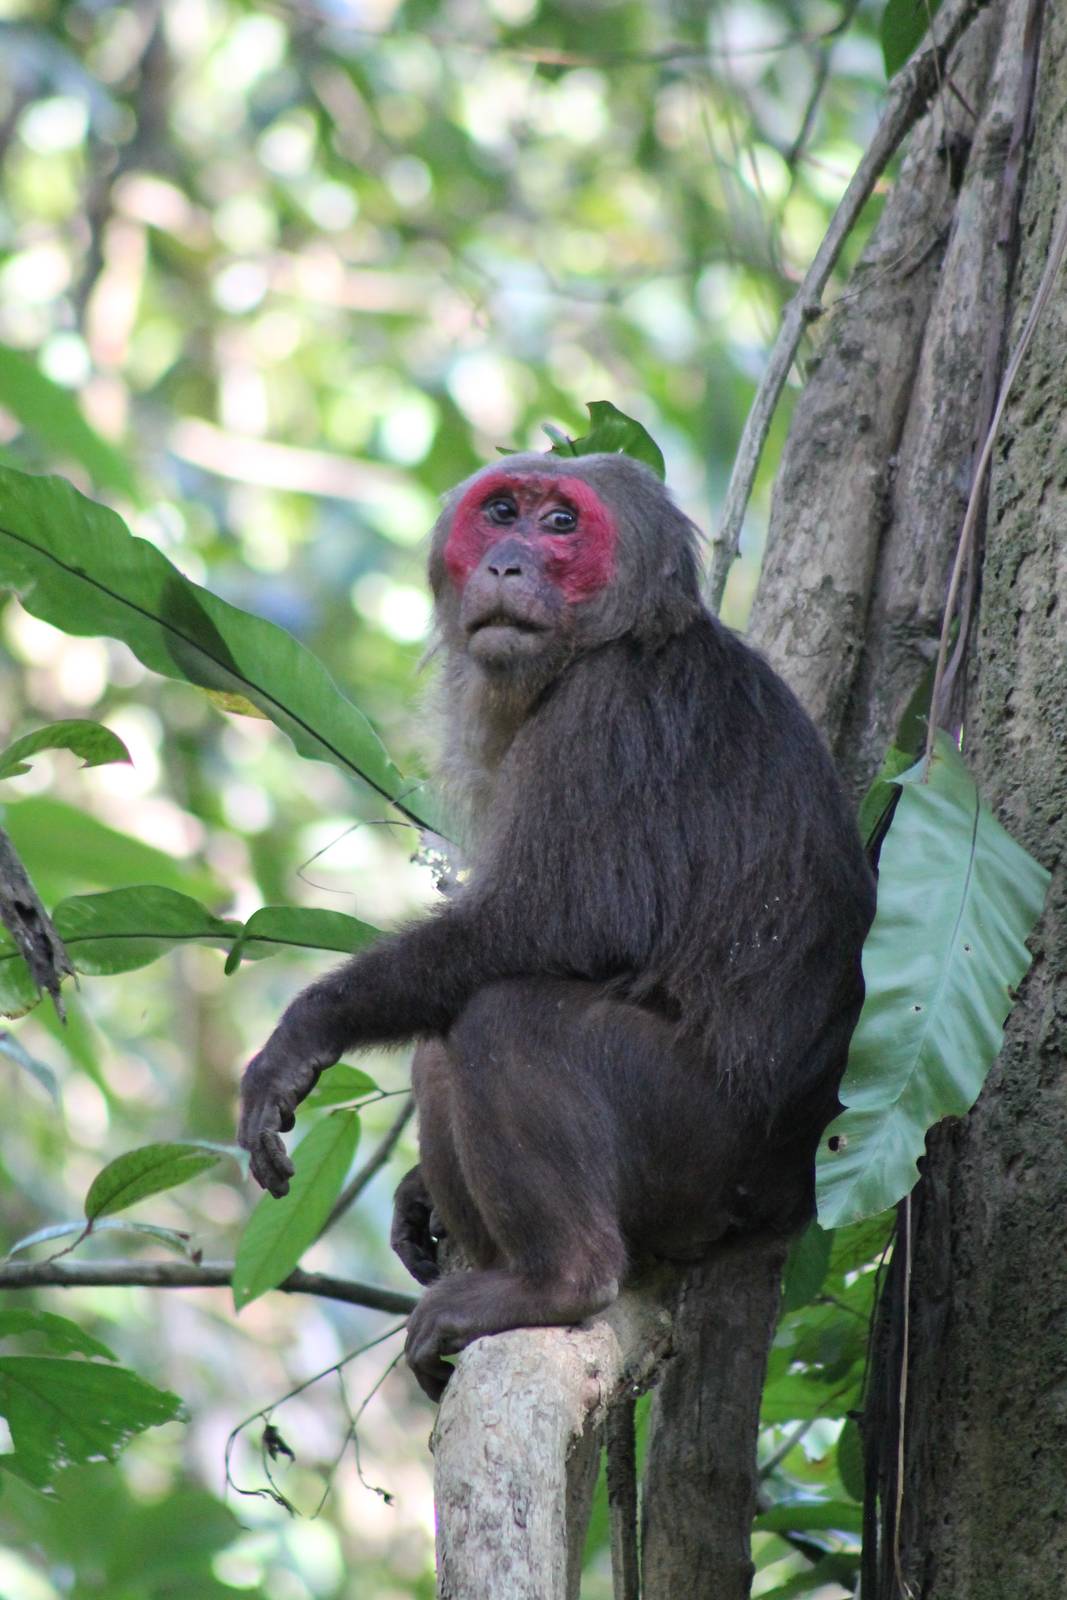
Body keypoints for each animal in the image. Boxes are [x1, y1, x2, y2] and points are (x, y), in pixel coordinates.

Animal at [238, 452, 876, 1402]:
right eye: (501, 511)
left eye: (560, 525)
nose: (506, 562)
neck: (612, 640)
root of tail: (794, 1192)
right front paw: (415, 1192)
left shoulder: (608, 716)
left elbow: (554, 922)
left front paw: (307, 1030)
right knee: (444, 1045)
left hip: (704, 1151)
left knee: (507, 1017)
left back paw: (559, 1282)